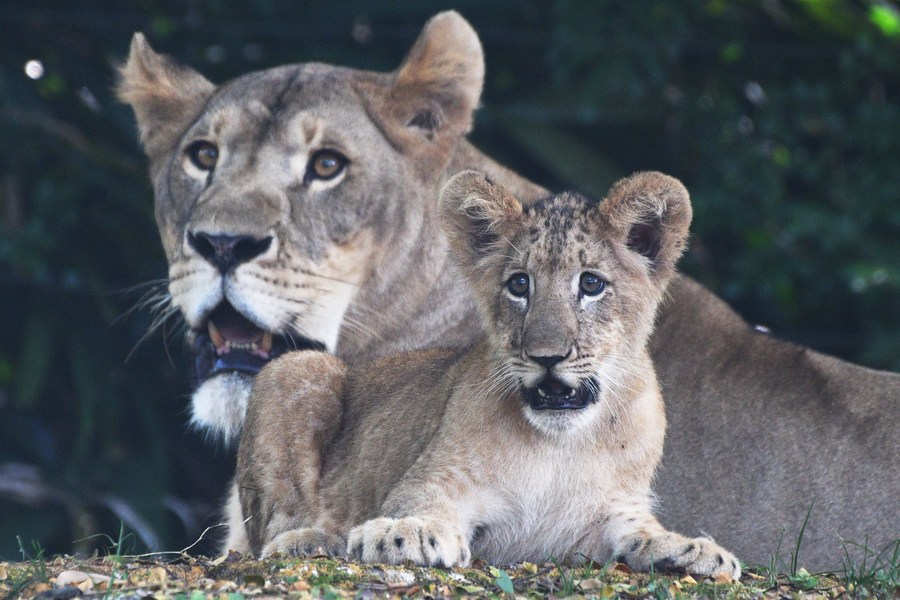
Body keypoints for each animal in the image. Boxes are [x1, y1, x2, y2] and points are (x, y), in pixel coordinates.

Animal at [236, 169, 741, 578]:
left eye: (591, 284)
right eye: (519, 284)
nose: (547, 356)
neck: (559, 447)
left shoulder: (604, 516)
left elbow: (640, 530)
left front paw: (693, 549)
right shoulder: (435, 479)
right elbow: (420, 506)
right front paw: (404, 533)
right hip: (294, 367)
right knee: (266, 533)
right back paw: (314, 539)